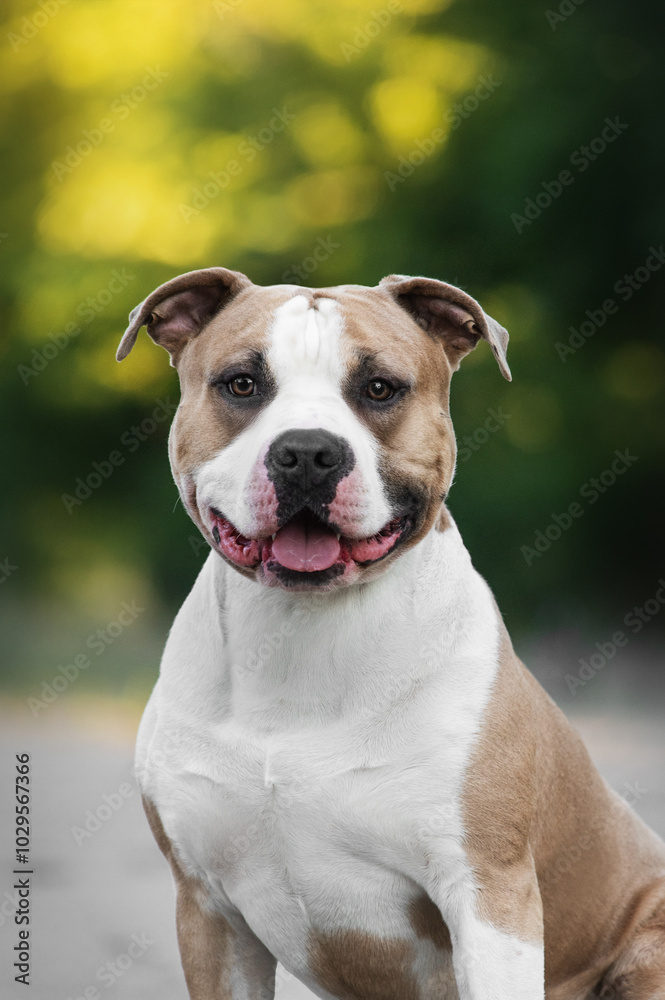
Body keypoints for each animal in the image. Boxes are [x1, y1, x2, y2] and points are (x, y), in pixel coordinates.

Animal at [116, 266, 664, 1000]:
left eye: (379, 388)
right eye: (241, 384)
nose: (307, 452)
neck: (303, 637)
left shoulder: (489, 897)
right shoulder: (208, 912)